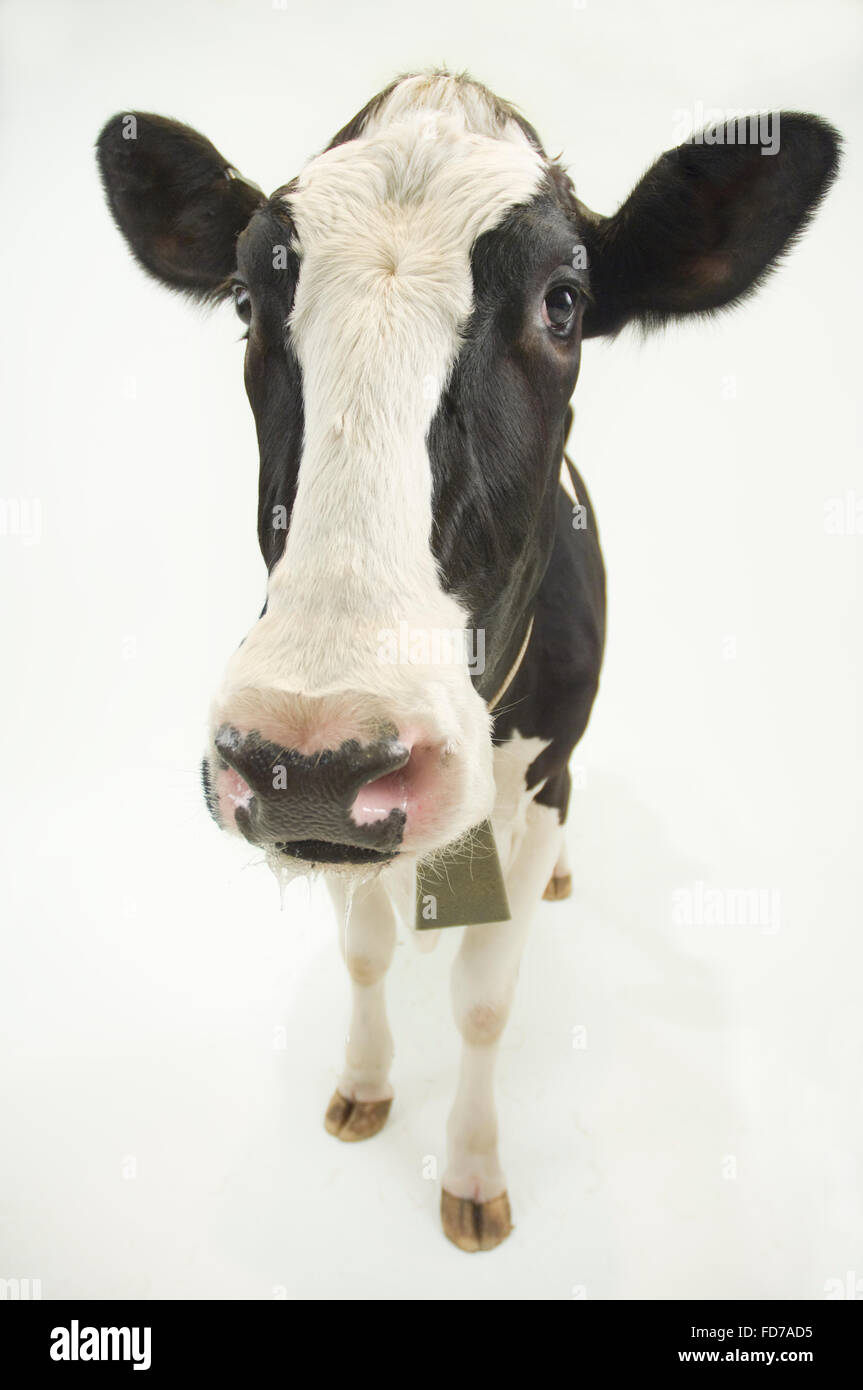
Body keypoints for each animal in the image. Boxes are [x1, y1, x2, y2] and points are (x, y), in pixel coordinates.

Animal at [96, 70, 839, 1252]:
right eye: (248, 300)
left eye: (563, 303)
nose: (310, 758)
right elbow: (363, 953)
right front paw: (363, 1086)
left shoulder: (541, 780)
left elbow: (487, 998)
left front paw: (473, 1171)